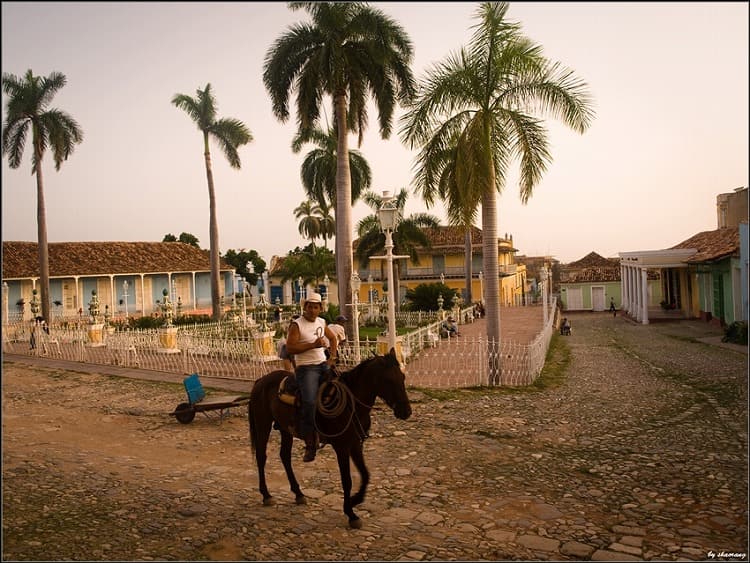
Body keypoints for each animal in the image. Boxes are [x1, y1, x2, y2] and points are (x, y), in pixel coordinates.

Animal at [247, 348, 412, 528]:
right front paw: (351, 513)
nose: (406, 411)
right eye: (388, 380)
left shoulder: (355, 444)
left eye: (403, 377)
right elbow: (347, 480)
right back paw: (266, 495)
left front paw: (355, 500)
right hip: (263, 424)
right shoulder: (341, 447)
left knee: (284, 456)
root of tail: (261, 380)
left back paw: (298, 493)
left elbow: (365, 474)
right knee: (261, 456)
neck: (351, 403)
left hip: (285, 430)